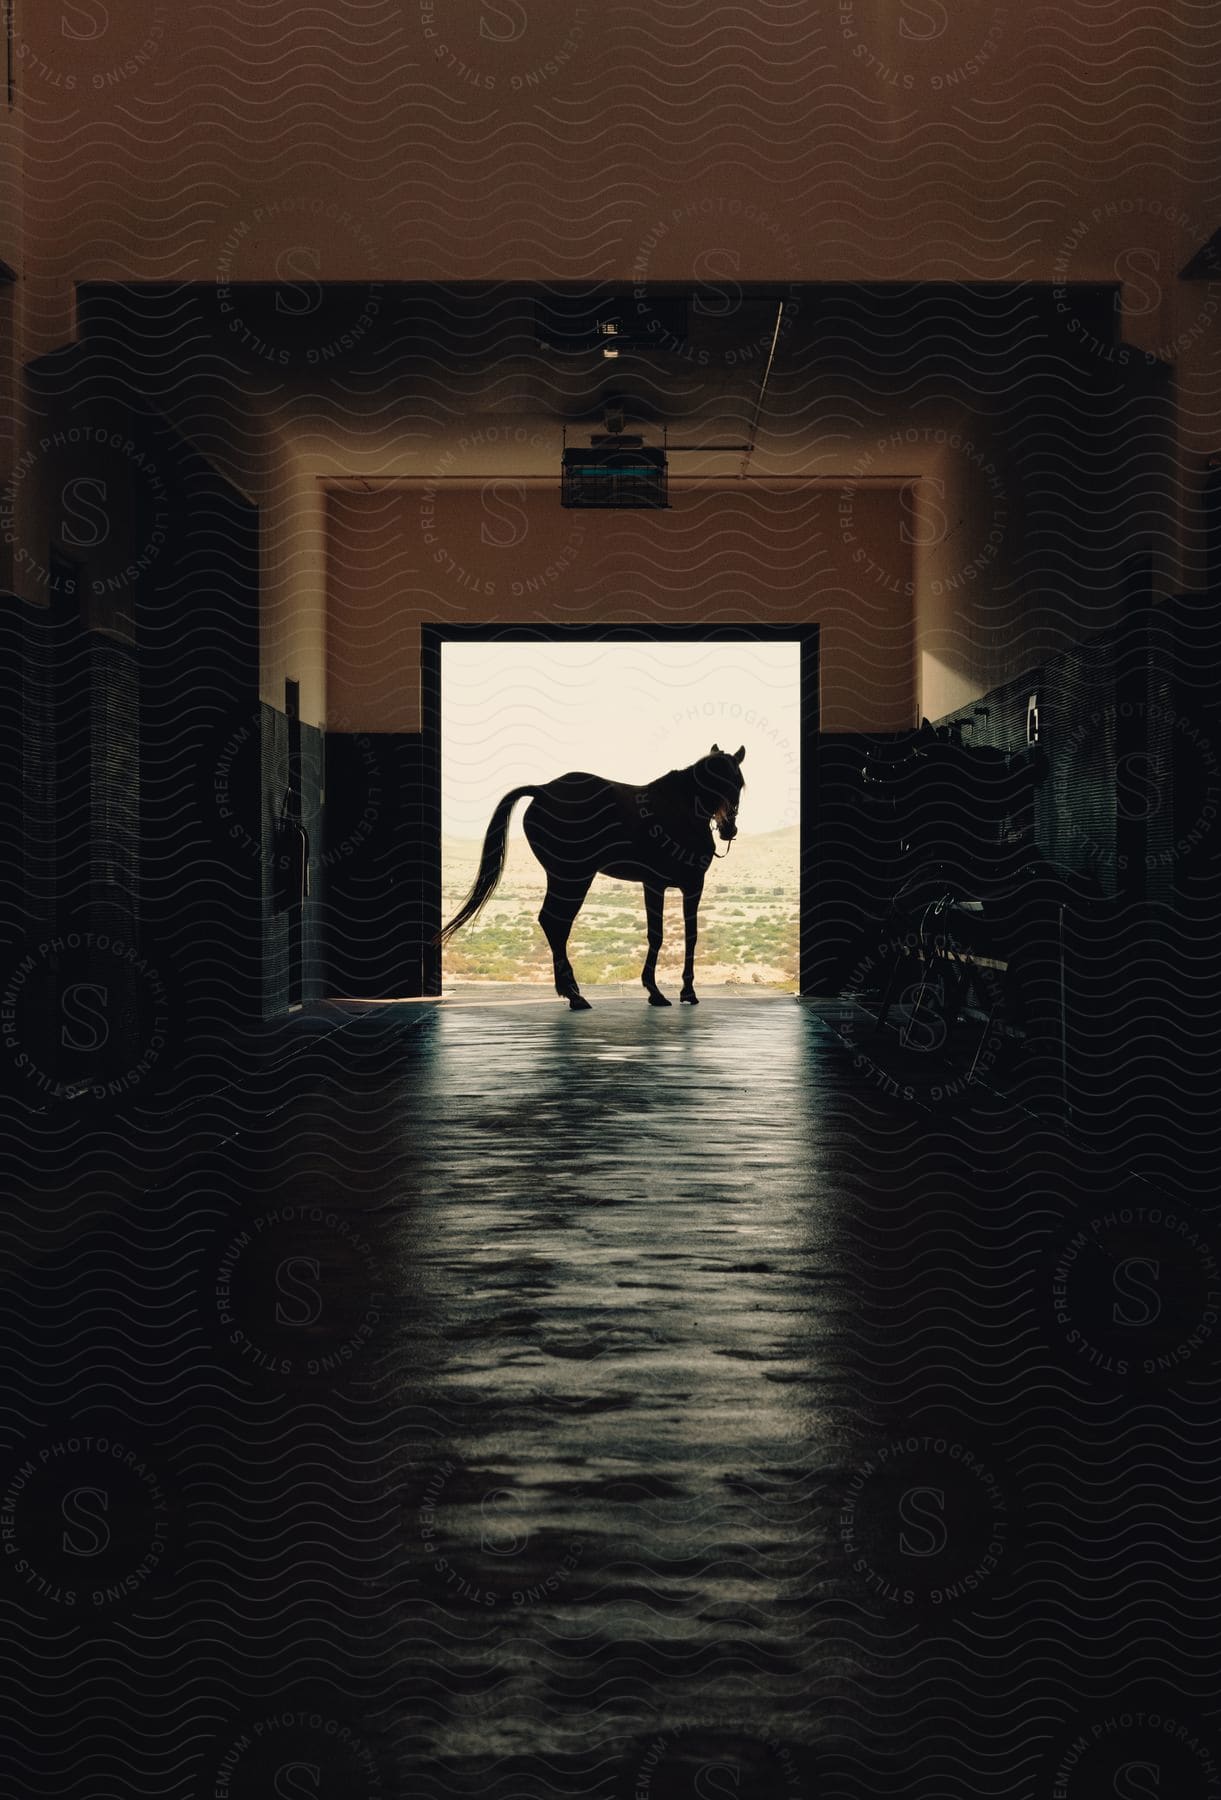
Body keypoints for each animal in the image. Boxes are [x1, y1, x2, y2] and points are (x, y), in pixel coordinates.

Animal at [439, 738, 745, 1008]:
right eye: (716, 782)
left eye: (738, 784)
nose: (728, 829)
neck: (680, 811)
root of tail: (543, 790)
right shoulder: (682, 885)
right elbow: (678, 936)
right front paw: (674, 992)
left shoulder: (663, 885)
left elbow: (667, 935)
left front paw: (664, 991)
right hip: (573, 878)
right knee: (555, 922)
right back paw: (574, 994)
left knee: (553, 923)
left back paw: (571, 992)